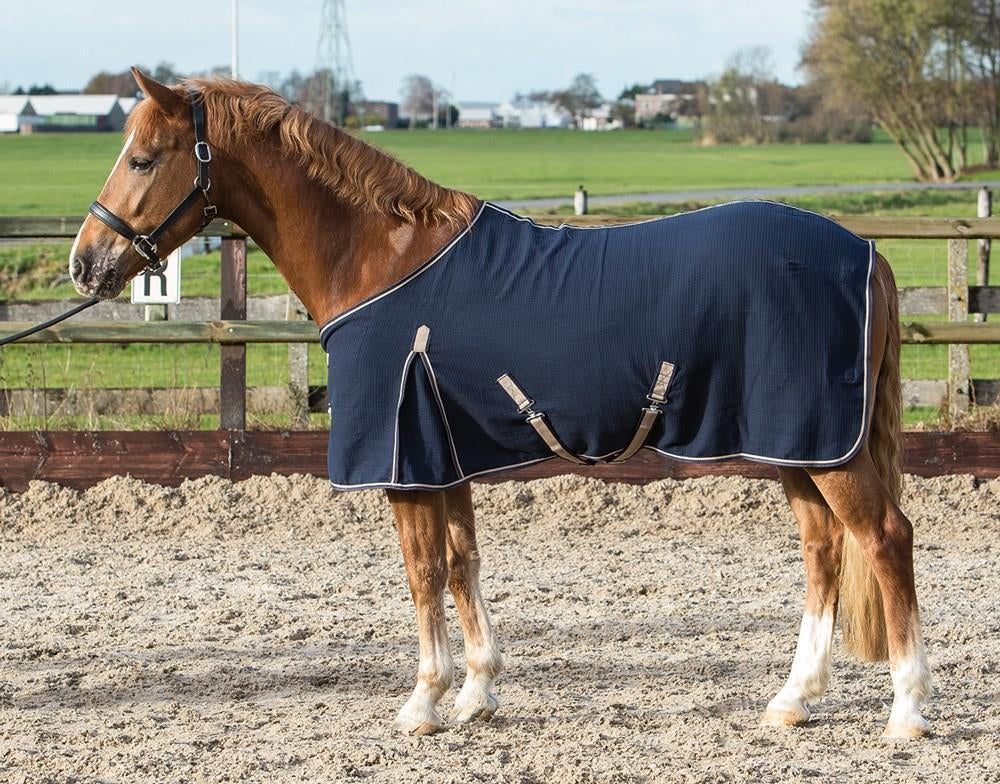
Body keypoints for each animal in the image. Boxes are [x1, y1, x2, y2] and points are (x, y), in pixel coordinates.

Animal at [68, 68, 931, 739]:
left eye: (142, 158)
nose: (85, 263)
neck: (379, 256)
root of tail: (866, 251)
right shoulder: (440, 451)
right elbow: (462, 563)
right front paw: (478, 693)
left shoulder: (405, 459)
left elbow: (423, 571)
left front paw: (422, 704)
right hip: (796, 445)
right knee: (824, 551)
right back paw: (793, 700)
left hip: (827, 448)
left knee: (885, 539)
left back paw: (907, 712)